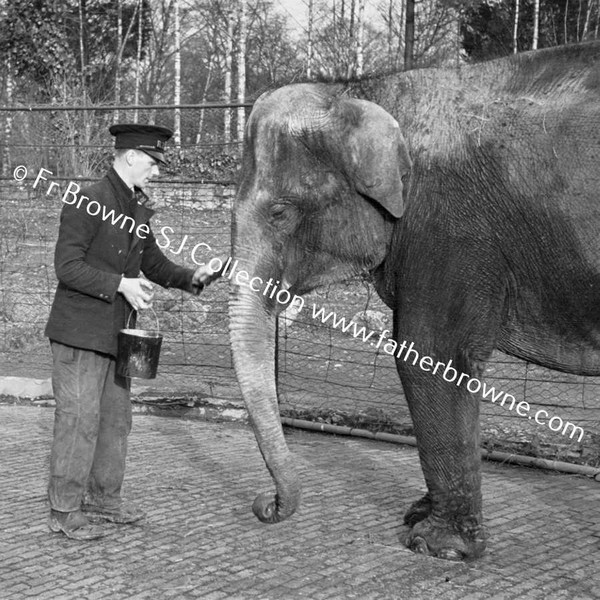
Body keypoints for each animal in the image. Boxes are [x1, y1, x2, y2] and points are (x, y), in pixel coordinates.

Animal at [226, 43, 600, 564]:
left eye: (280, 212)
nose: (265, 505)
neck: (366, 90)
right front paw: (418, 516)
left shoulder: (450, 227)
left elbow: (430, 355)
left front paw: (436, 546)